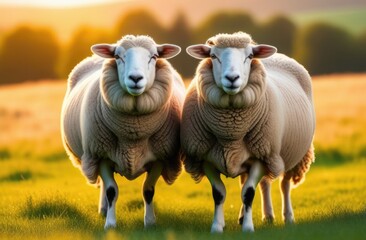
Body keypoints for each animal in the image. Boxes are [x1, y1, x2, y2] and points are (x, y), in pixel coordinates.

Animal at [60, 35, 186, 229]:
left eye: (154, 57)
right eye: (118, 57)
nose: (135, 78)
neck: (133, 131)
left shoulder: (160, 157)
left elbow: (148, 190)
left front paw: (150, 223)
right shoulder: (101, 155)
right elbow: (111, 191)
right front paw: (110, 224)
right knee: (104, 186)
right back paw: (104, 210)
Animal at [183, 31, 314, 232]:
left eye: (250, 56)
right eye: (213, 56)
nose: (232, 78)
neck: (230, 133)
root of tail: (277, 56)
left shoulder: (260, 156)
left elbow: (248, 193)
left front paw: (247, 228)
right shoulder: (204, 157)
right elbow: (219, 193)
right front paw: (217, 227)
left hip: (290, 154)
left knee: (284, 185)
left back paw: (288, 217)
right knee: (264, 183)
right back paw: (265, 216)